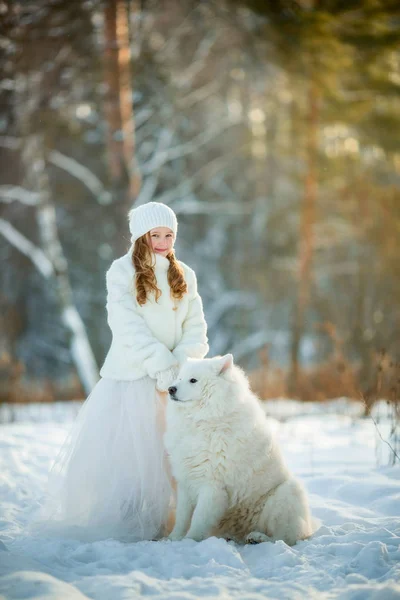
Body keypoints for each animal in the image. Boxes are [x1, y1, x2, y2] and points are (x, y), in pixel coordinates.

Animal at [164, 354, 314, 548]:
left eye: (193, 380)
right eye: (180, 378)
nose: (170, 389)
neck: (204, 420)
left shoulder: (213, 486)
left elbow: (198, 519)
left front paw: (189, 541)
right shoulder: (186, 481)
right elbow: (182, 517)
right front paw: (173, 538)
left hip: (286, 493)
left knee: (286, 537)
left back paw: (258, 538)